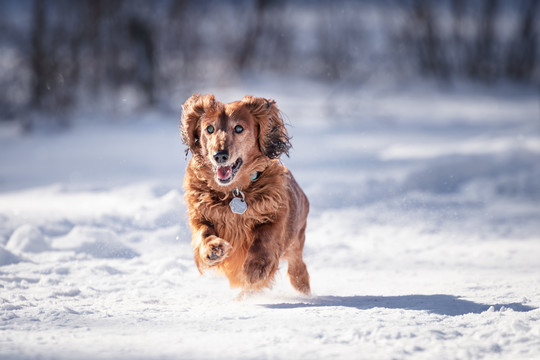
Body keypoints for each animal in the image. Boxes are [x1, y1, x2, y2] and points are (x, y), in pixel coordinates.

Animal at [180, 93, 310, 296]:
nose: (220, 155)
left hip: (296, 238)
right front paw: (213, 248)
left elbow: (264, 238)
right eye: (209, 129)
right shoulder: (199, 214)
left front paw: (255, 267)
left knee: (297, 264)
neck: (233, 191)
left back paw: (301, 284)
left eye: (239, 128)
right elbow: (203, 232)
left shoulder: (275, 214)